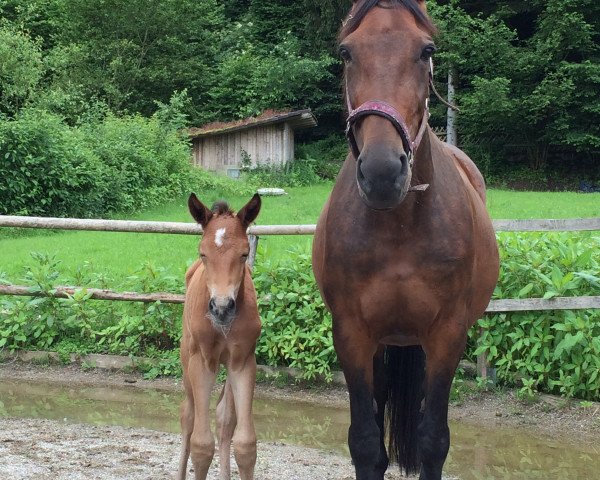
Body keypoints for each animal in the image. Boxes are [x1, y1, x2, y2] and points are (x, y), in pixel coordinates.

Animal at [176, 192, 260, 480]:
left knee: (225, 420)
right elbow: (201, 445)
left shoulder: (242, 362)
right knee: (188, 417)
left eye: (244, 254)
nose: (222, 308)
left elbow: (245, 444)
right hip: (187, 360)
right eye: (203, 253)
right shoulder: (202, 362)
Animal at [312, 1, 500, 478]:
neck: (398, 226)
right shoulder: (353, 334)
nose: (382, 172)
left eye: (425, 50)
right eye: (346, 52)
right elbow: (365, 444)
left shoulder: (447, 334)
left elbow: (433, 440)